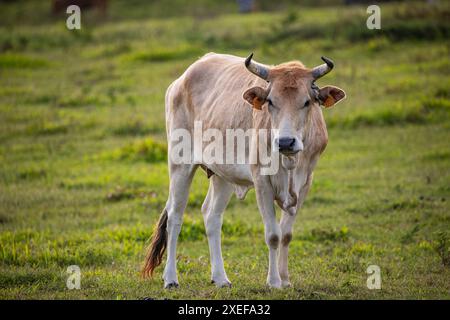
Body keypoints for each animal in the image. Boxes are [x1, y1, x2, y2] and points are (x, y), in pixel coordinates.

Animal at [142, 52, 346, 288]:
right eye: (270, 101)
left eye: (307, 102)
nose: (285, 142)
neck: (289, 162)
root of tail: (182, 79)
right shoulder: (262, 182)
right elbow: (273, 235)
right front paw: (274, 282)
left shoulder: (305, 182)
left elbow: (286, 234)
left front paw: (285, 280)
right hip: (180, 164)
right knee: (175, 217)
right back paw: (171, 278)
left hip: (222, 175)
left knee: (212, 216)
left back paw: (220, 277)